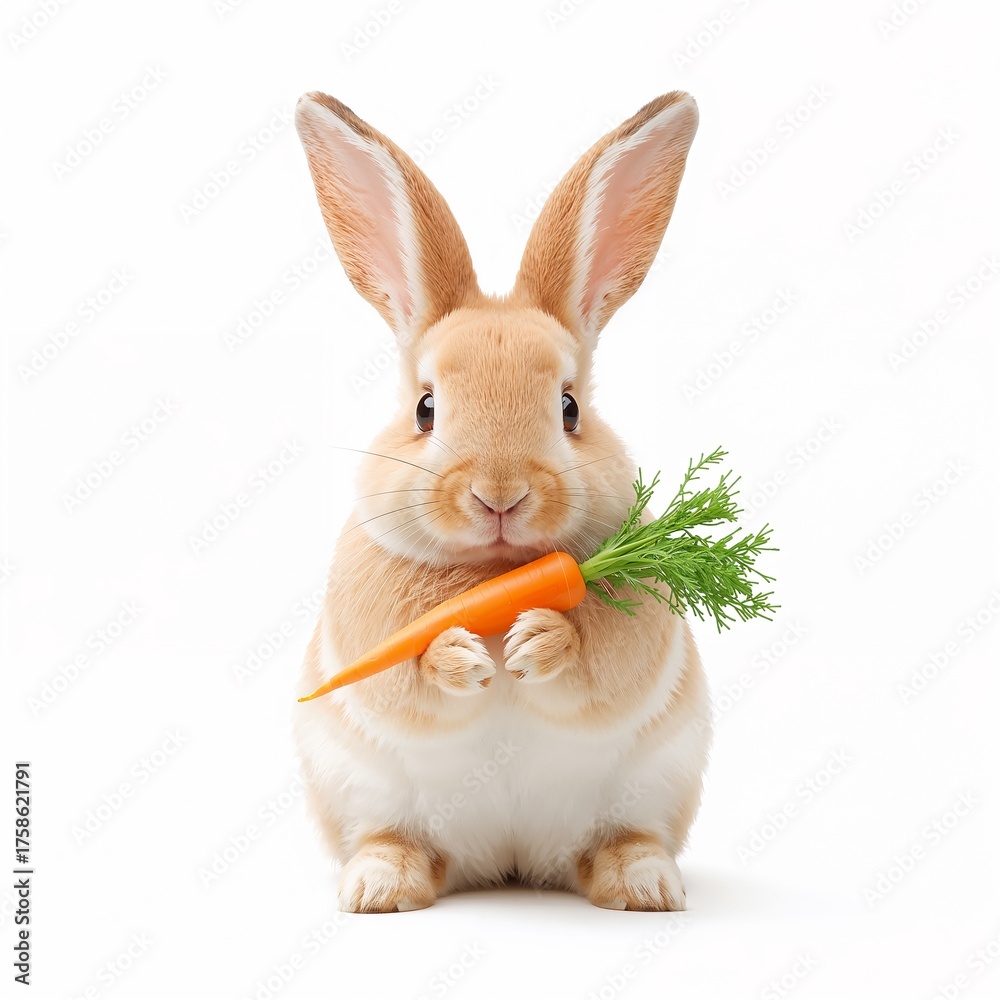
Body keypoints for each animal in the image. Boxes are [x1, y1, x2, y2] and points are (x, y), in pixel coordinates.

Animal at [293, 90, 711, 912]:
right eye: (425, 409)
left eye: (569, 409)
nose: (499, 494)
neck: (494, 577)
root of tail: (512, 863)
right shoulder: (368, 624)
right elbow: (402, 673)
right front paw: (458, 654)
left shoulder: (636, 627)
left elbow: (599, 658)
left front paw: (535, 642)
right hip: (362, 792)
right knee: (400, 843)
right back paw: (379, 887)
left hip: (653, 785)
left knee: (616, 842)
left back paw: (642, 883)